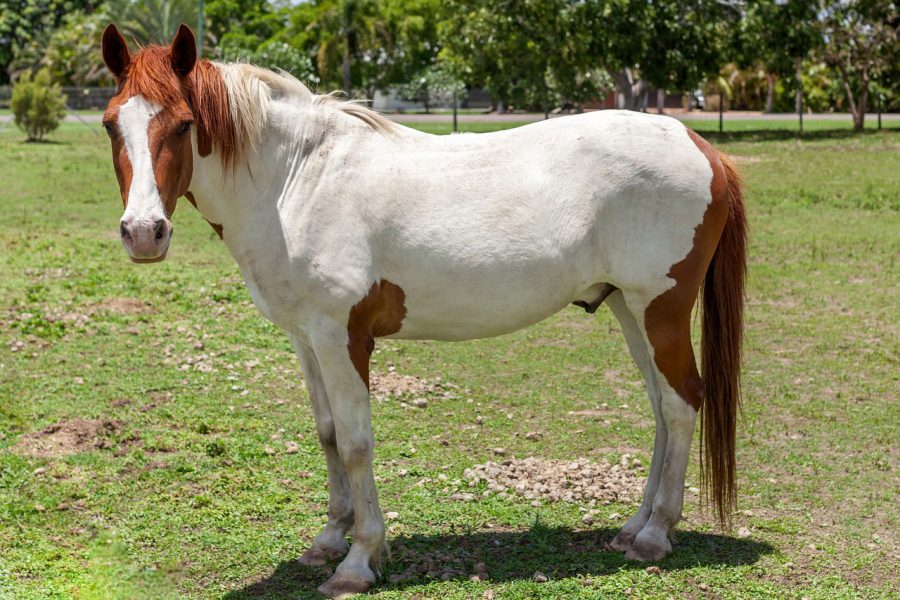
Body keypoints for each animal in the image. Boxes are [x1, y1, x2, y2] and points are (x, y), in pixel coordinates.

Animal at [100, 24, 746, 598]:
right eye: (111, 124)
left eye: (184, 124)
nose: (144, 233)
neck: (297, 180)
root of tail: (701, 147)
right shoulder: (306, 339)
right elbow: (328, 434)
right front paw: (328, 540)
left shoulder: (343, 339)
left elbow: (356, 443)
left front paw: (358, 561)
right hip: (628, 310)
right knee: (661, 407)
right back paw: (634, 527)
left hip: (660, 308)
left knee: (681, 403)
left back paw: (656, 536)